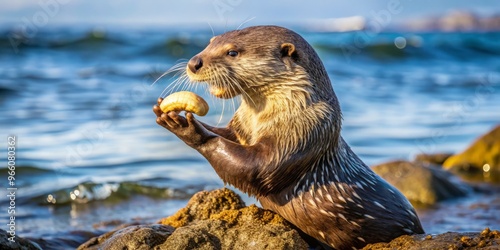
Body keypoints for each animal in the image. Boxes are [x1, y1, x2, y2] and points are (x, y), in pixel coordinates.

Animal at [151, 24, 422, 248]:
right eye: (210, 42)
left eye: (232, 52)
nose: (194, 62)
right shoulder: (241, 126)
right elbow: (228, 135)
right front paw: (169, 114)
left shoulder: (307, 129)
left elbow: (257, 168)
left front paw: (188, 128)